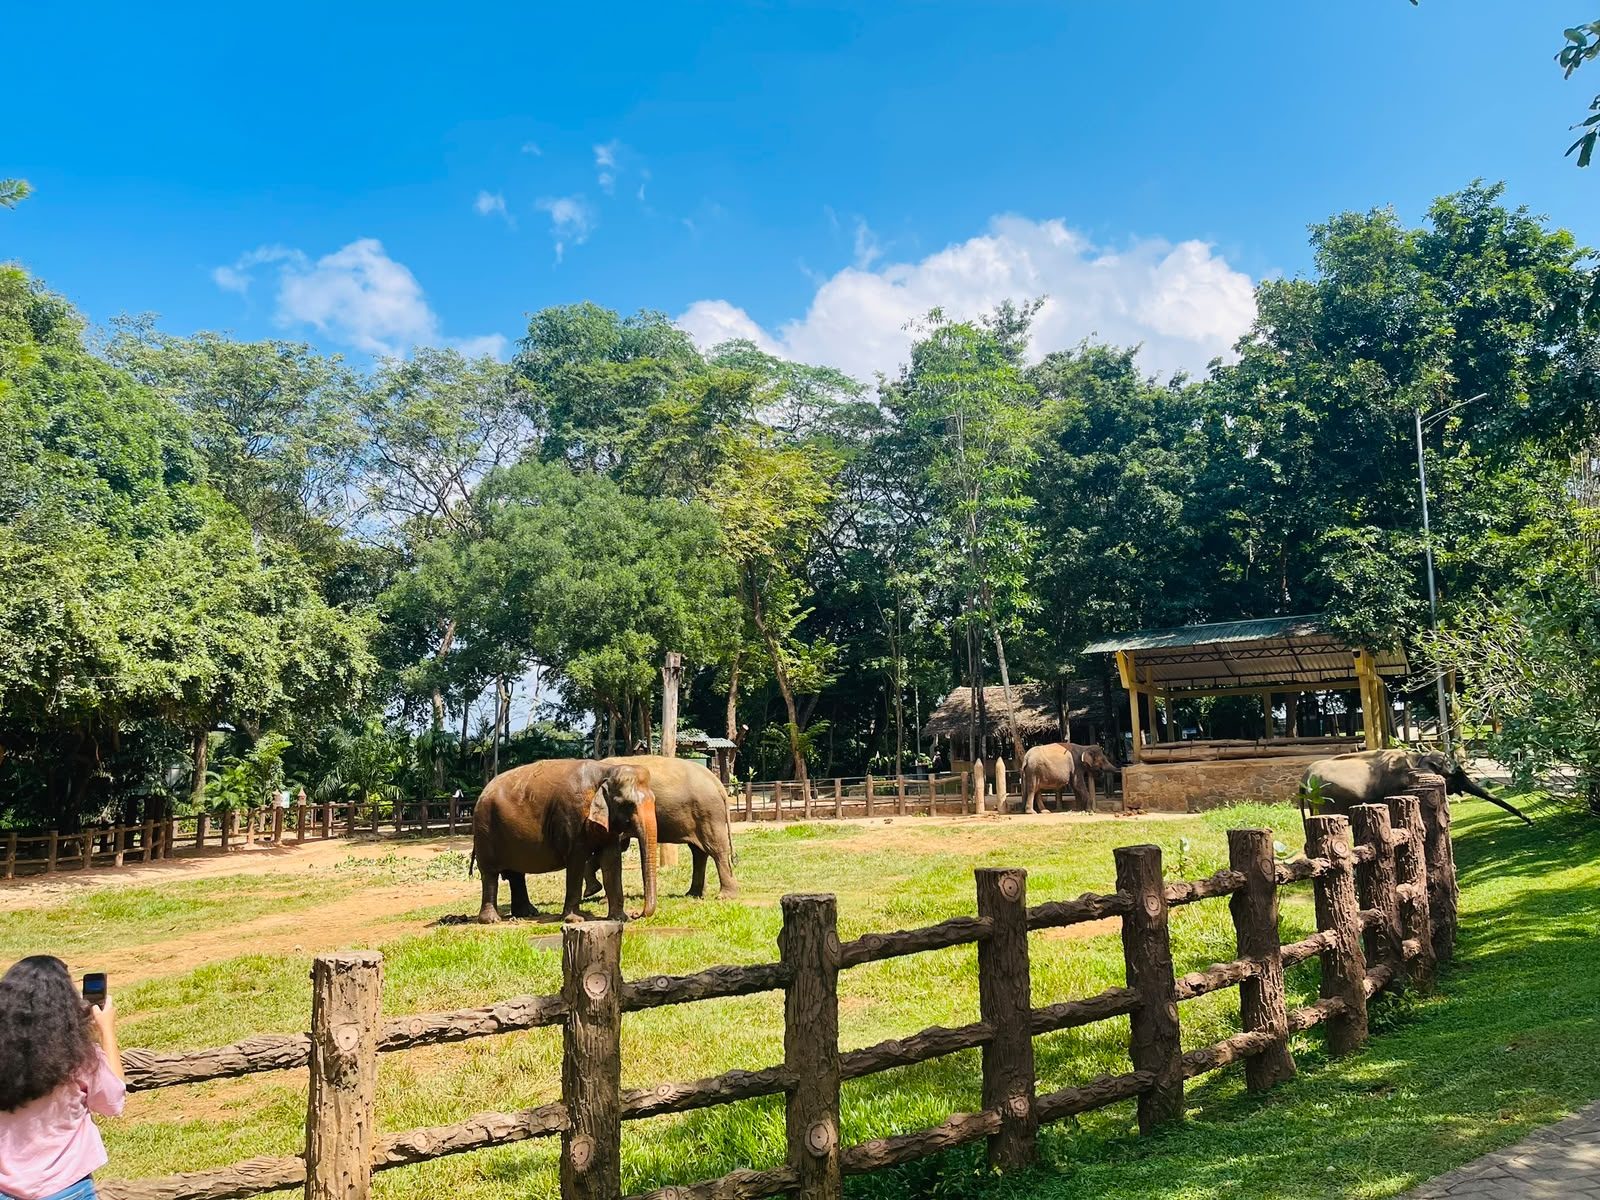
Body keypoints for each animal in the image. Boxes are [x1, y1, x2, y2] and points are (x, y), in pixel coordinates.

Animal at [471, 759, 659, 924]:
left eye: (654, 801)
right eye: (628, 804)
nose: (637, 914)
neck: (605, 771)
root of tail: (483, 791)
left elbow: (612, 862)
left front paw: (620, 918)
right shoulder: (573, 816)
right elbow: (576, 861)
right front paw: (574, 920)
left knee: (516, 874)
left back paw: (528, 913)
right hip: (485, 830)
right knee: (490, 873)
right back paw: (491, 920)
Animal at [585, 755, 740, 899]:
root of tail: (717, 783)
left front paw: (598, 896)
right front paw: (592, 891)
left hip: (709, 813)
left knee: (715, 848)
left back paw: (724, 896)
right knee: (698, 851)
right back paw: (693, 894)